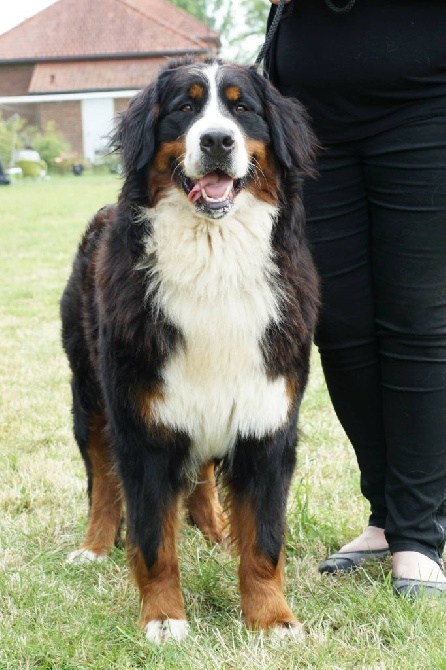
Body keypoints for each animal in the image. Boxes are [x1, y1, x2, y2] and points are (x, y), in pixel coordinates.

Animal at [61, 57, 318, 644]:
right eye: (184, 107)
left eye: (242, 108)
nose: (218, 140)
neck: (214, 264)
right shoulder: (143, 424)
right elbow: (153, 538)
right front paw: (163, 618)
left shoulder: (268, 420)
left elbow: (265, 540)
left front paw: (272, 619)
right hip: (90, 392)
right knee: (103, 479)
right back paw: (93, 546)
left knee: (200, 473)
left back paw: (217, 531)